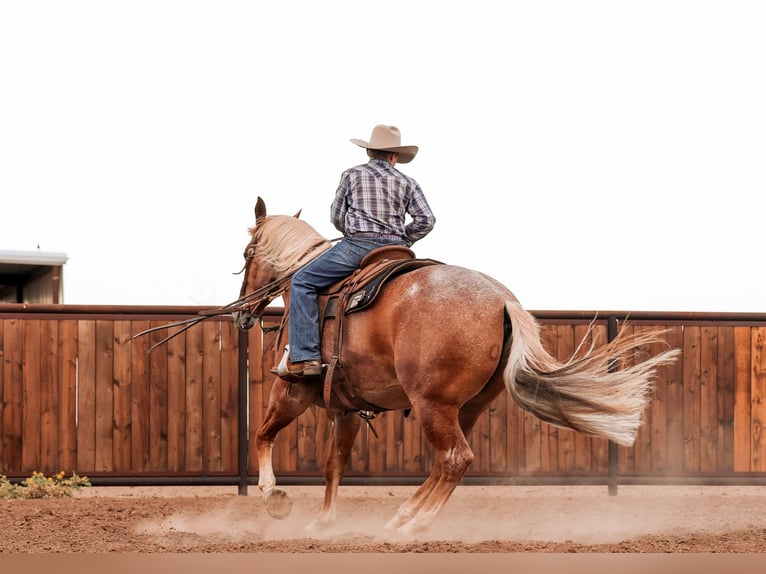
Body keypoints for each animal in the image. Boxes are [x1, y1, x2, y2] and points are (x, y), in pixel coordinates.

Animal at [232, 197, 679, 537]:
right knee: (445, 461)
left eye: (248, 254)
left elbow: (263, 435)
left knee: (455, 458)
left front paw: (274, 497)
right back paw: (402, 518)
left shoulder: (290, 390)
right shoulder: (347, 410)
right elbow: (333, 464)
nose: (241, 312)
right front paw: (323, 523)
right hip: (467, 407)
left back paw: (415, 525)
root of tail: (502, 301)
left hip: (432, 405)